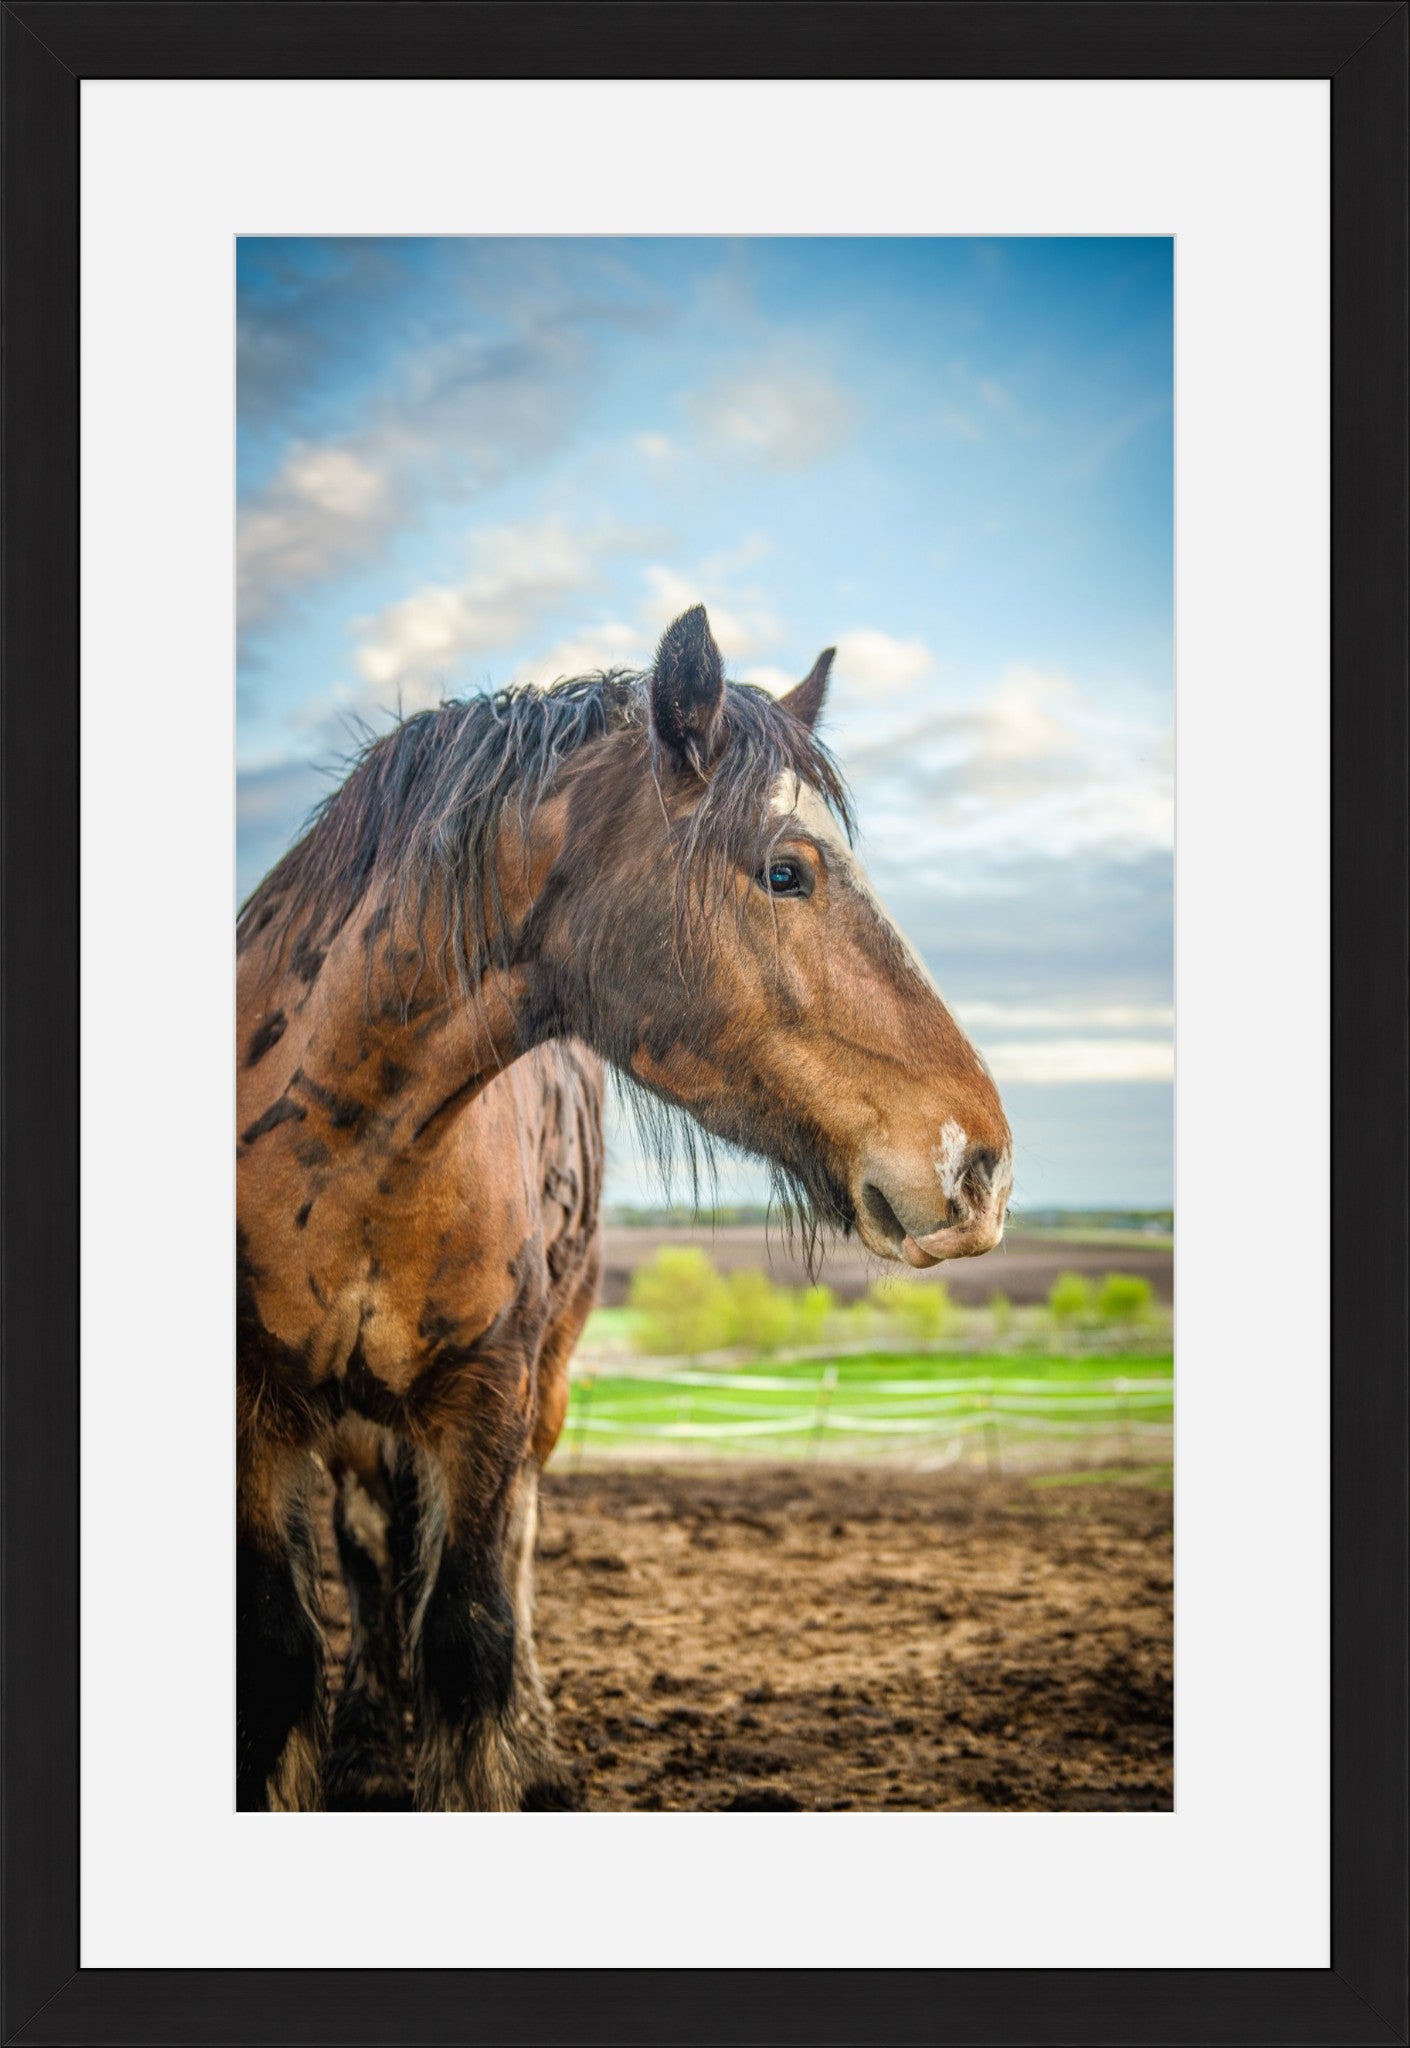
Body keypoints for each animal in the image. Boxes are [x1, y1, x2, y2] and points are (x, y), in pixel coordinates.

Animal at [236, 602, 1008, 1810]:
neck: (348, 1147)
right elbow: (282, 1659)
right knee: (367, 1552)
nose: (980, 1162)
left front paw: (505, 1756)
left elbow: (470, 1640)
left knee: (504, 1561)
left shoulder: (486, 1396)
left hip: (535, 1394)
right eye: (786, 871)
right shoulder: (256, 1414)